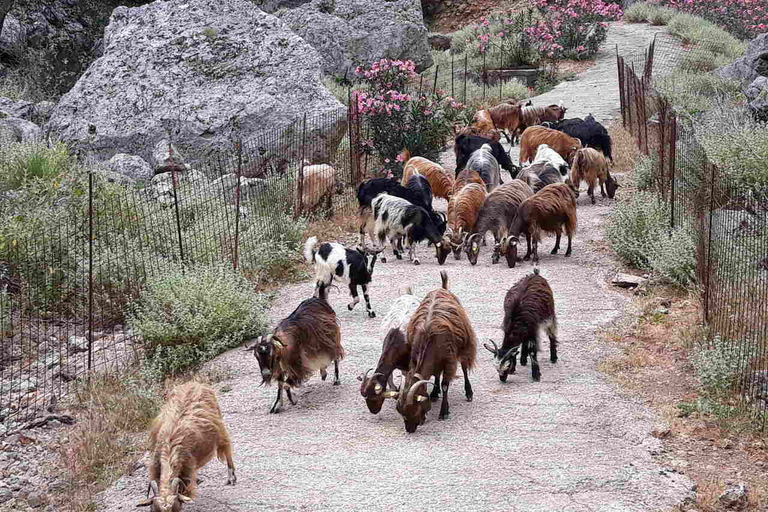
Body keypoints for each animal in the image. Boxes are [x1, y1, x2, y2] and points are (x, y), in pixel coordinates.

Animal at [135, 382, 236, 510]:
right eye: (154, 509)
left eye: (175, 508)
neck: (169, 453)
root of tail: (194, 383)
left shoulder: (187, 467)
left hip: (220, 428)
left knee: (226, 448)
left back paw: (232, 477)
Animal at [248, 282, 344, 414]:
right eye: (256, 355)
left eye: (271, 353)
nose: (266, 373)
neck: (284, 348)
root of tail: (319, 298)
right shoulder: (281, 369)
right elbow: (280, 385)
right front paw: (277, 405)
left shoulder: (297, 366)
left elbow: (286, 384)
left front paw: (293, 400)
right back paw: (323, 372)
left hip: (331, 337)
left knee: (335, 356)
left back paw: (336, 379)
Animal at [396, 270, 474, 434]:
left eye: (414, 409)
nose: (410, 429)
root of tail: (443, 288)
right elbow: (436, 376)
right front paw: (433, 394)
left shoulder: (449, 360)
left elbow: (445, 385)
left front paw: (444, 412)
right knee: (437, 373)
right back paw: (434, 393)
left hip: (465, 344)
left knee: (464, 366)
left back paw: (469, 392)